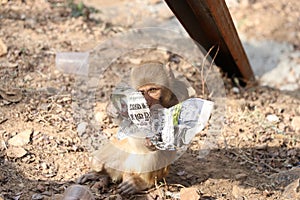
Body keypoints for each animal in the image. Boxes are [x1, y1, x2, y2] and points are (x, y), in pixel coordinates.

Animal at [76, 61, 186, 195]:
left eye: (153, 90)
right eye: (142, 92)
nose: (148, 101)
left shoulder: (181, 94)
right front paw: (112, 109)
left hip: (156, 172)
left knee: (153, 153)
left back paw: (140, 183)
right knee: (102, 158)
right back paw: (101, 174)